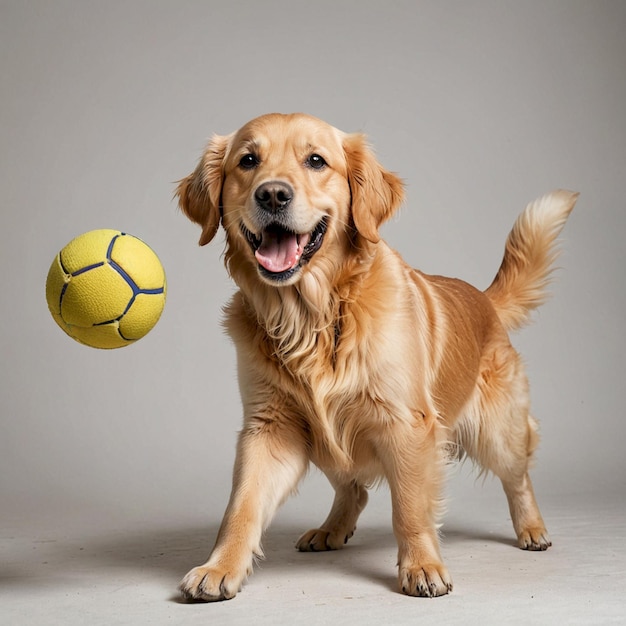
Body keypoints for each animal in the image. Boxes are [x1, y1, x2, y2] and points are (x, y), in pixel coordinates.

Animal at [176, 112, 576, 600]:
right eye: (248, 161)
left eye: (316, 161)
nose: (272, 194)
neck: (313, 316)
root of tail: (483, 299)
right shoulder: (268, 427)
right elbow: (242, 505)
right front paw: (219, 567)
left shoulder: (405, 424)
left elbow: (410, 508)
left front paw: (422, 566)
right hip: (326, 439)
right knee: (355, 489)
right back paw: (330, 529)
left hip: (496, 430)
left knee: (518, 476)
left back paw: (531, 528)